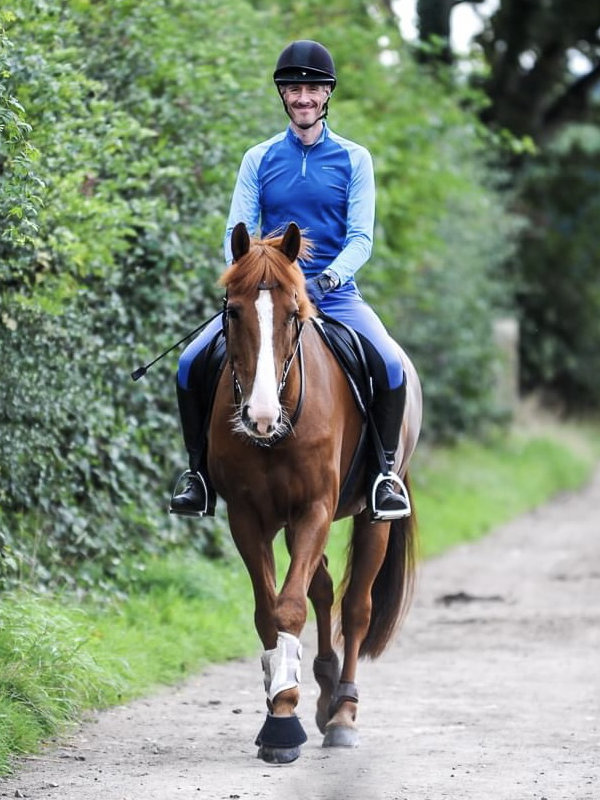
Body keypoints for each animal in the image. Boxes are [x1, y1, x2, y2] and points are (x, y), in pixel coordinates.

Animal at [206, 219, 422, 764]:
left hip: (370, 518)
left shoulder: (315, 510)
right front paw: (280, 704)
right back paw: (324, 692)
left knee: (356, 607)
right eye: (233, 311)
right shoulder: (248, 516)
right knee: (322, 588)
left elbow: (290, 607)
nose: (260, 418)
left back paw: (343, 712)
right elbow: (269, 612)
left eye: (293, 314)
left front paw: (284, 722)